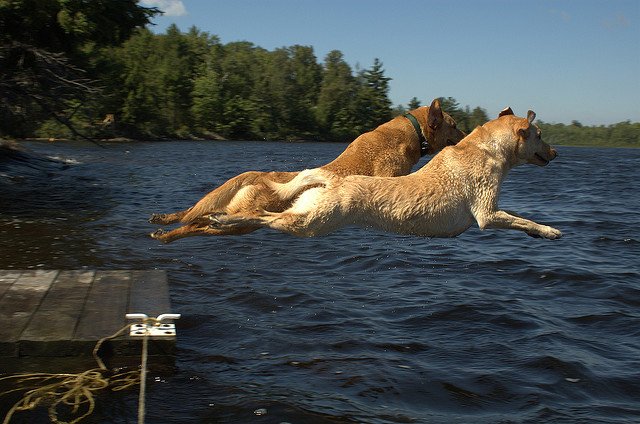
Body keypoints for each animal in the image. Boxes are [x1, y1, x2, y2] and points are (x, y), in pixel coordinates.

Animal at [150, 97, 464, 242]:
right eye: (454, 124)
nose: (465, 135)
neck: (413, 131)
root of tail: (260, 176)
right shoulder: (390, 177)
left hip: (234, 222)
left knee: (194, 219)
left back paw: (164, 226)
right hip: (243, 220)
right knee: (199, 222)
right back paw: (166, 231)